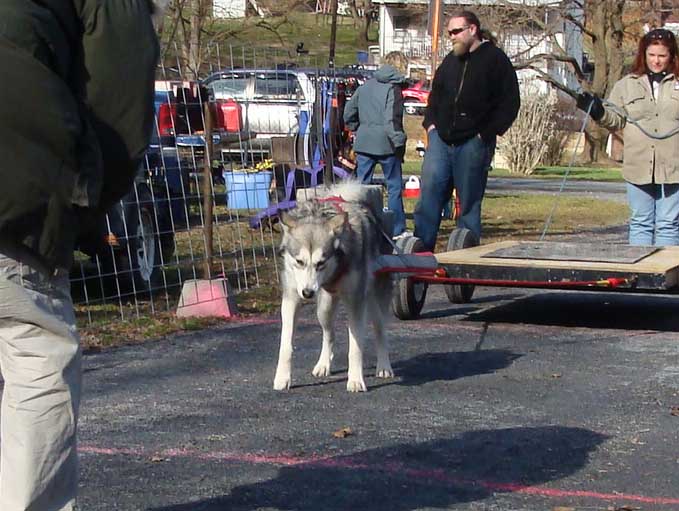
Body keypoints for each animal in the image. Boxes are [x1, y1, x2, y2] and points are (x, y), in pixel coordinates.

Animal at [274, 183, 396, 392]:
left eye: (321, 263)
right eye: (299, 261)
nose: (308, 293)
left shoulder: (356, 302)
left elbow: (355, 348)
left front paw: (355, 380)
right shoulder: (291, 298)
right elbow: (285, 345)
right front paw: (282, 378)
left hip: (373, 305)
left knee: (380, 333)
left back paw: (384, 366)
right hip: (324, 309)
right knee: (329, 334)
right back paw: (324, 364)